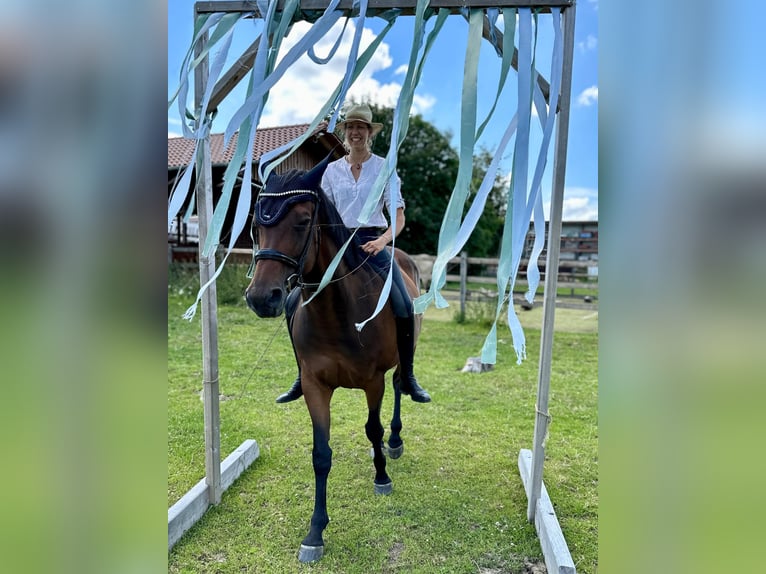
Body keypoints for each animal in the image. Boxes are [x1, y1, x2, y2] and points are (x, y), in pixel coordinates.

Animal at [244, 161, 424, 564]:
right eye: (257, 225)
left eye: (302, 221)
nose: (262, 298)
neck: (338, 312)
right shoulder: (315, 385)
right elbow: (321, 455)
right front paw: (315, 533)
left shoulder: (372, 381)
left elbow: (371, 429)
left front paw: (382, 477)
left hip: (398, 361)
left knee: (400, 384)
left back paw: (395, 439)